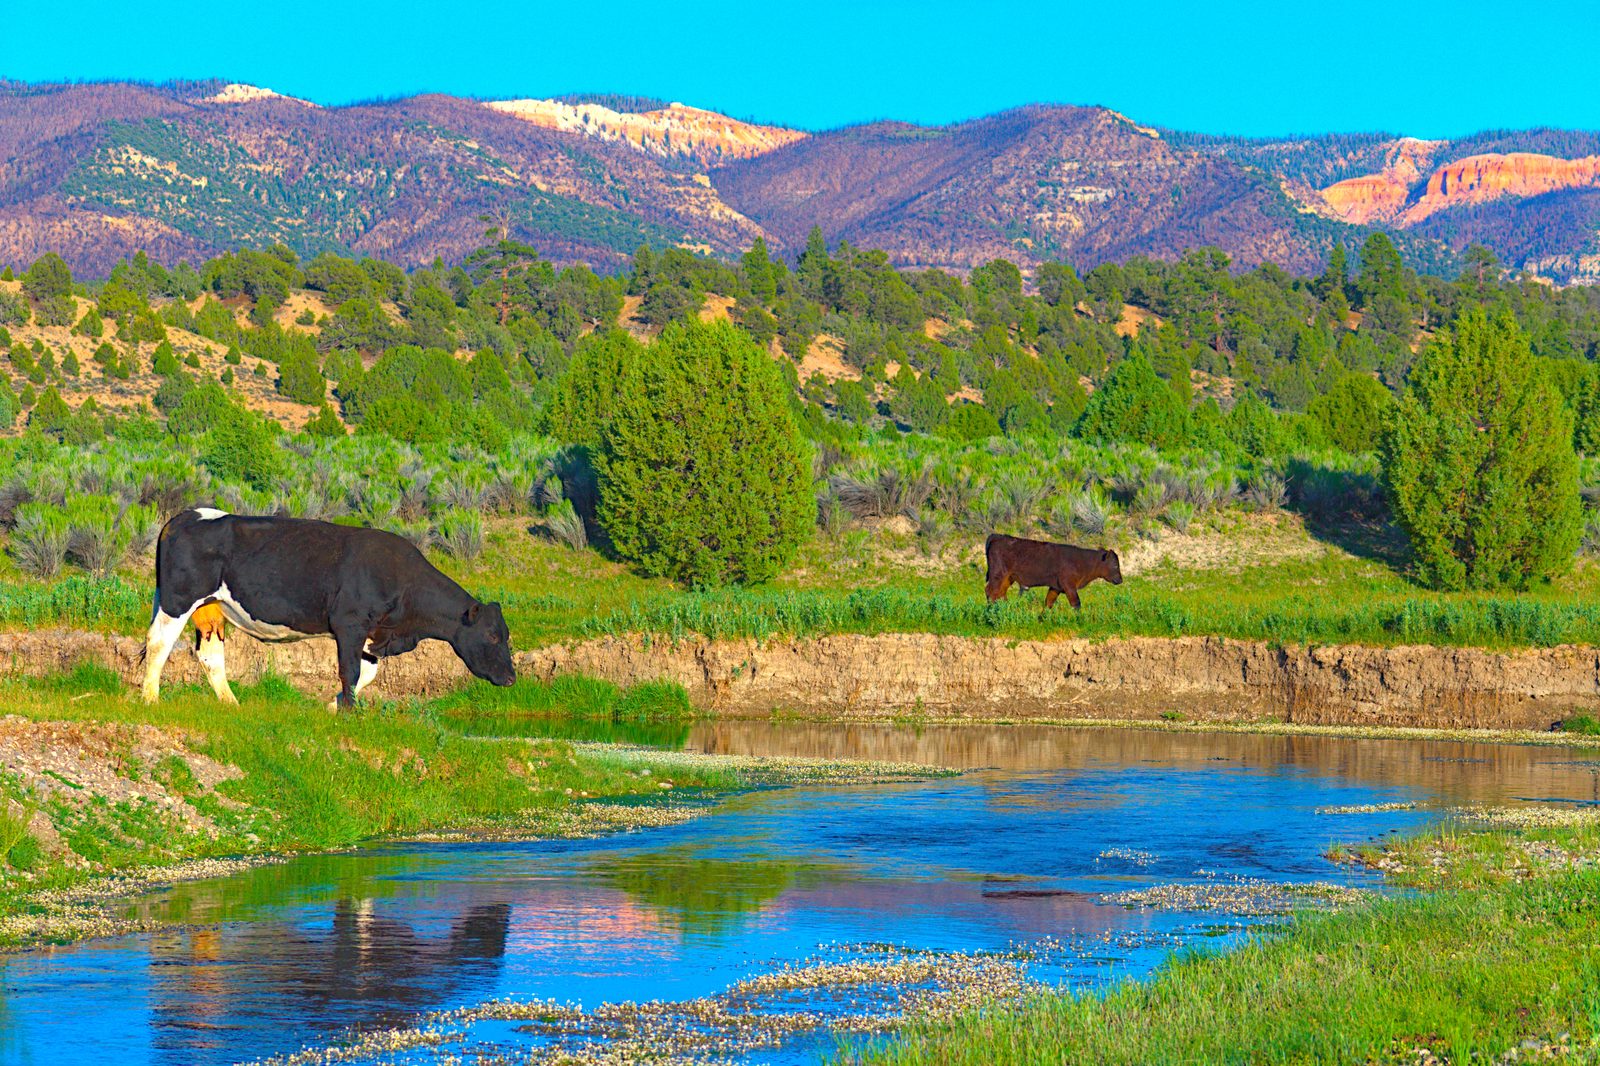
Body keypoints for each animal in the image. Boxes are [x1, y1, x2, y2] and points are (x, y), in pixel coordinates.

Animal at [142, 508, 516, 708]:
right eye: (493, 636)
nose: (512, 678)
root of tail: (184, 516)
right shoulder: (350, 624)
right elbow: (349, 672)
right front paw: (348, 713)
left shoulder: (371, 637)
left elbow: (366, 674)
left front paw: (332, 707)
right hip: (179, 600)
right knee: (159, 642)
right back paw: (150, 698)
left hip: (212, 608)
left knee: (209, 655)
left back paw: (231, 704)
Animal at [984, 533, 1122, 610]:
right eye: (1115, 565)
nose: (1120, 580)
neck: (1083, 561)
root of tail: (997, 536)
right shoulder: (1069, 586)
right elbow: (1076, 603)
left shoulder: (1056, 587)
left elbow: (1049, 602)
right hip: (998, 574)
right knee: (991, 591)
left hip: (1008, 577)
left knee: (1000, 593)